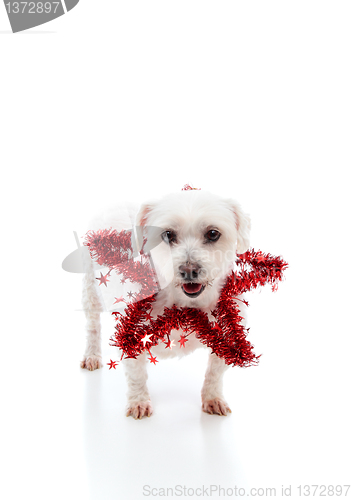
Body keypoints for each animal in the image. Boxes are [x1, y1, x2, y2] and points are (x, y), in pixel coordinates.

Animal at [80, 190, 250, 418]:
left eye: (213, 233)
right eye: (168, 235)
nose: (189, 270)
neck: (184, 304)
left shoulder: (228, 336)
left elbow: (214, 373)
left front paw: (213, 398)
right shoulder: (129, 333)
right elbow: (136, 374)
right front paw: (139, 401)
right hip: (91, 290)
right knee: (92, 327)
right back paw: (92, 355)